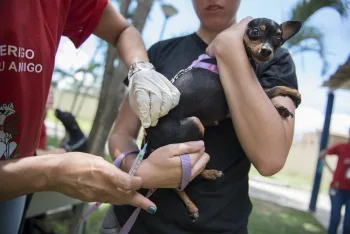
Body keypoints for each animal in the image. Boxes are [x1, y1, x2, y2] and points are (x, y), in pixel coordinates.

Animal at [144, 17, 302, 221]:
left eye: (279, 39)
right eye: (255, 32)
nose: (267, 51)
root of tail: (149, 134)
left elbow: (272, 89)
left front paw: (286, 101)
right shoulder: (234, 102)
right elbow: (273, 89)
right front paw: (288, 100)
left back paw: (207, 177)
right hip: (194, 126)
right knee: (176, 180)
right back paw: (193, 202)